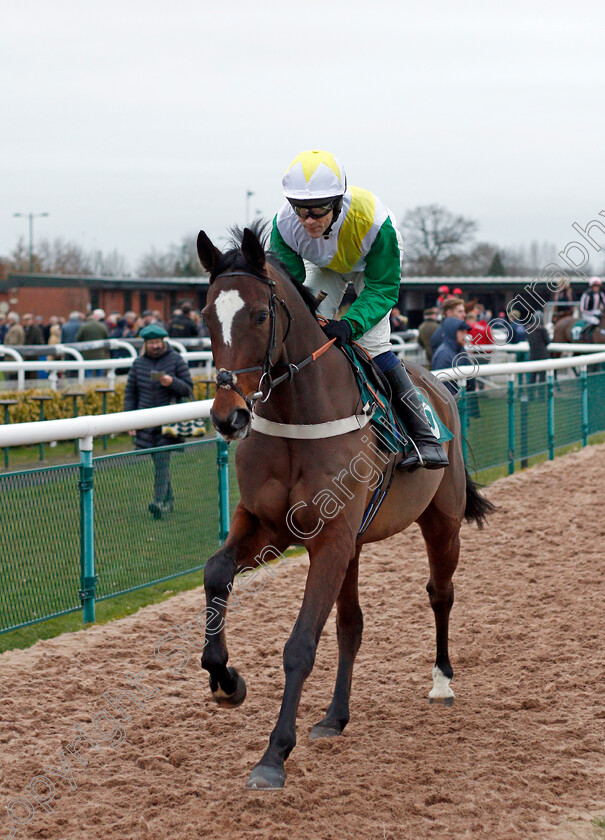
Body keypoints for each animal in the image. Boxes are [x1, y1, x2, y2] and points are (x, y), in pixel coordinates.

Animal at [196, 221, 494, 788]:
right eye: (205, 315)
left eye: (260, 315)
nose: (229, 416)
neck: (301, 417)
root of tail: (437, 386)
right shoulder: (268, 526)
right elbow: (216, 572)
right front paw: (226, 680)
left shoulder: (330, 538)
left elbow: (300, 645)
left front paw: (273, 756)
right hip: (352, 545)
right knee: (352, 625)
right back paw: (335, 716)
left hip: (440, 522)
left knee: (440, 593)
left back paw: (441, 681)